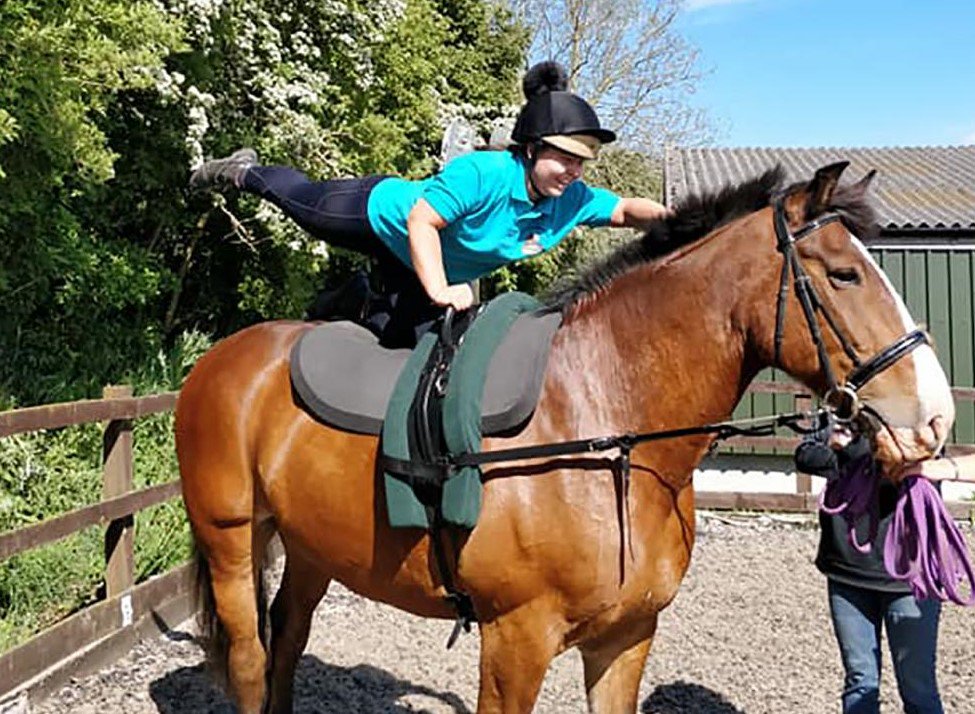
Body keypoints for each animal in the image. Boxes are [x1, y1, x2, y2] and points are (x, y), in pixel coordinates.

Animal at [175, 161, 955, 713]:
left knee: (287, 640)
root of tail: (220, 359)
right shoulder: (514, 644)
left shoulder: (625, 640)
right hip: (231, 540)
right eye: (845, 273)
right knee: (250, 660)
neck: (600, 426)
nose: (934, 418)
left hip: (310, 548)